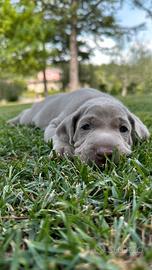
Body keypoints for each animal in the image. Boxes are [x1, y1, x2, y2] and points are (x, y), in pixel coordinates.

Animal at [7, 88, 149, 165]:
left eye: (124, 129)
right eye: (85, 127)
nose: (105, 153)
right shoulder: (55, 124)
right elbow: (58, 135)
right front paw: (63, 149)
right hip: (30, 116)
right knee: (24, 114)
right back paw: (11, 122)